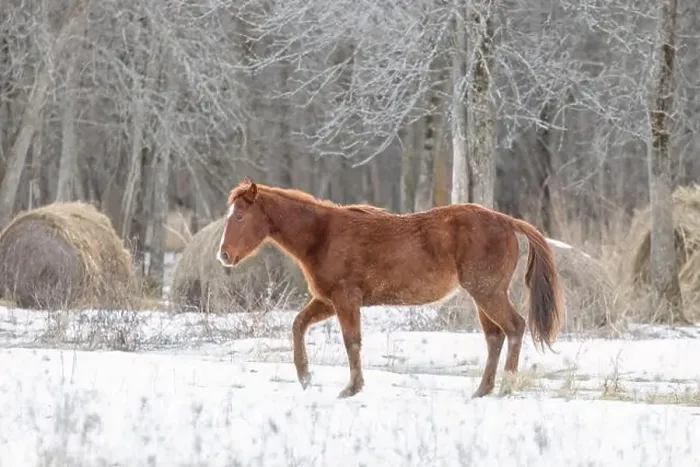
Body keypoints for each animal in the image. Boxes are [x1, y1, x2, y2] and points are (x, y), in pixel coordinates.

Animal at [217, 177, 564, 399]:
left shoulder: (345, 300)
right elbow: (298, 324)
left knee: (514, 328)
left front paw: (351, 388)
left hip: (488, 293)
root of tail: (507, 221)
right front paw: (305, 376)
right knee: (495, 338)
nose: (223, 255)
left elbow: (352, 342)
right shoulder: (327, 300)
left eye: (240, 216)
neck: (323, 235)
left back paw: (505, 387)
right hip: (483, 297)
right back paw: (482, 390)